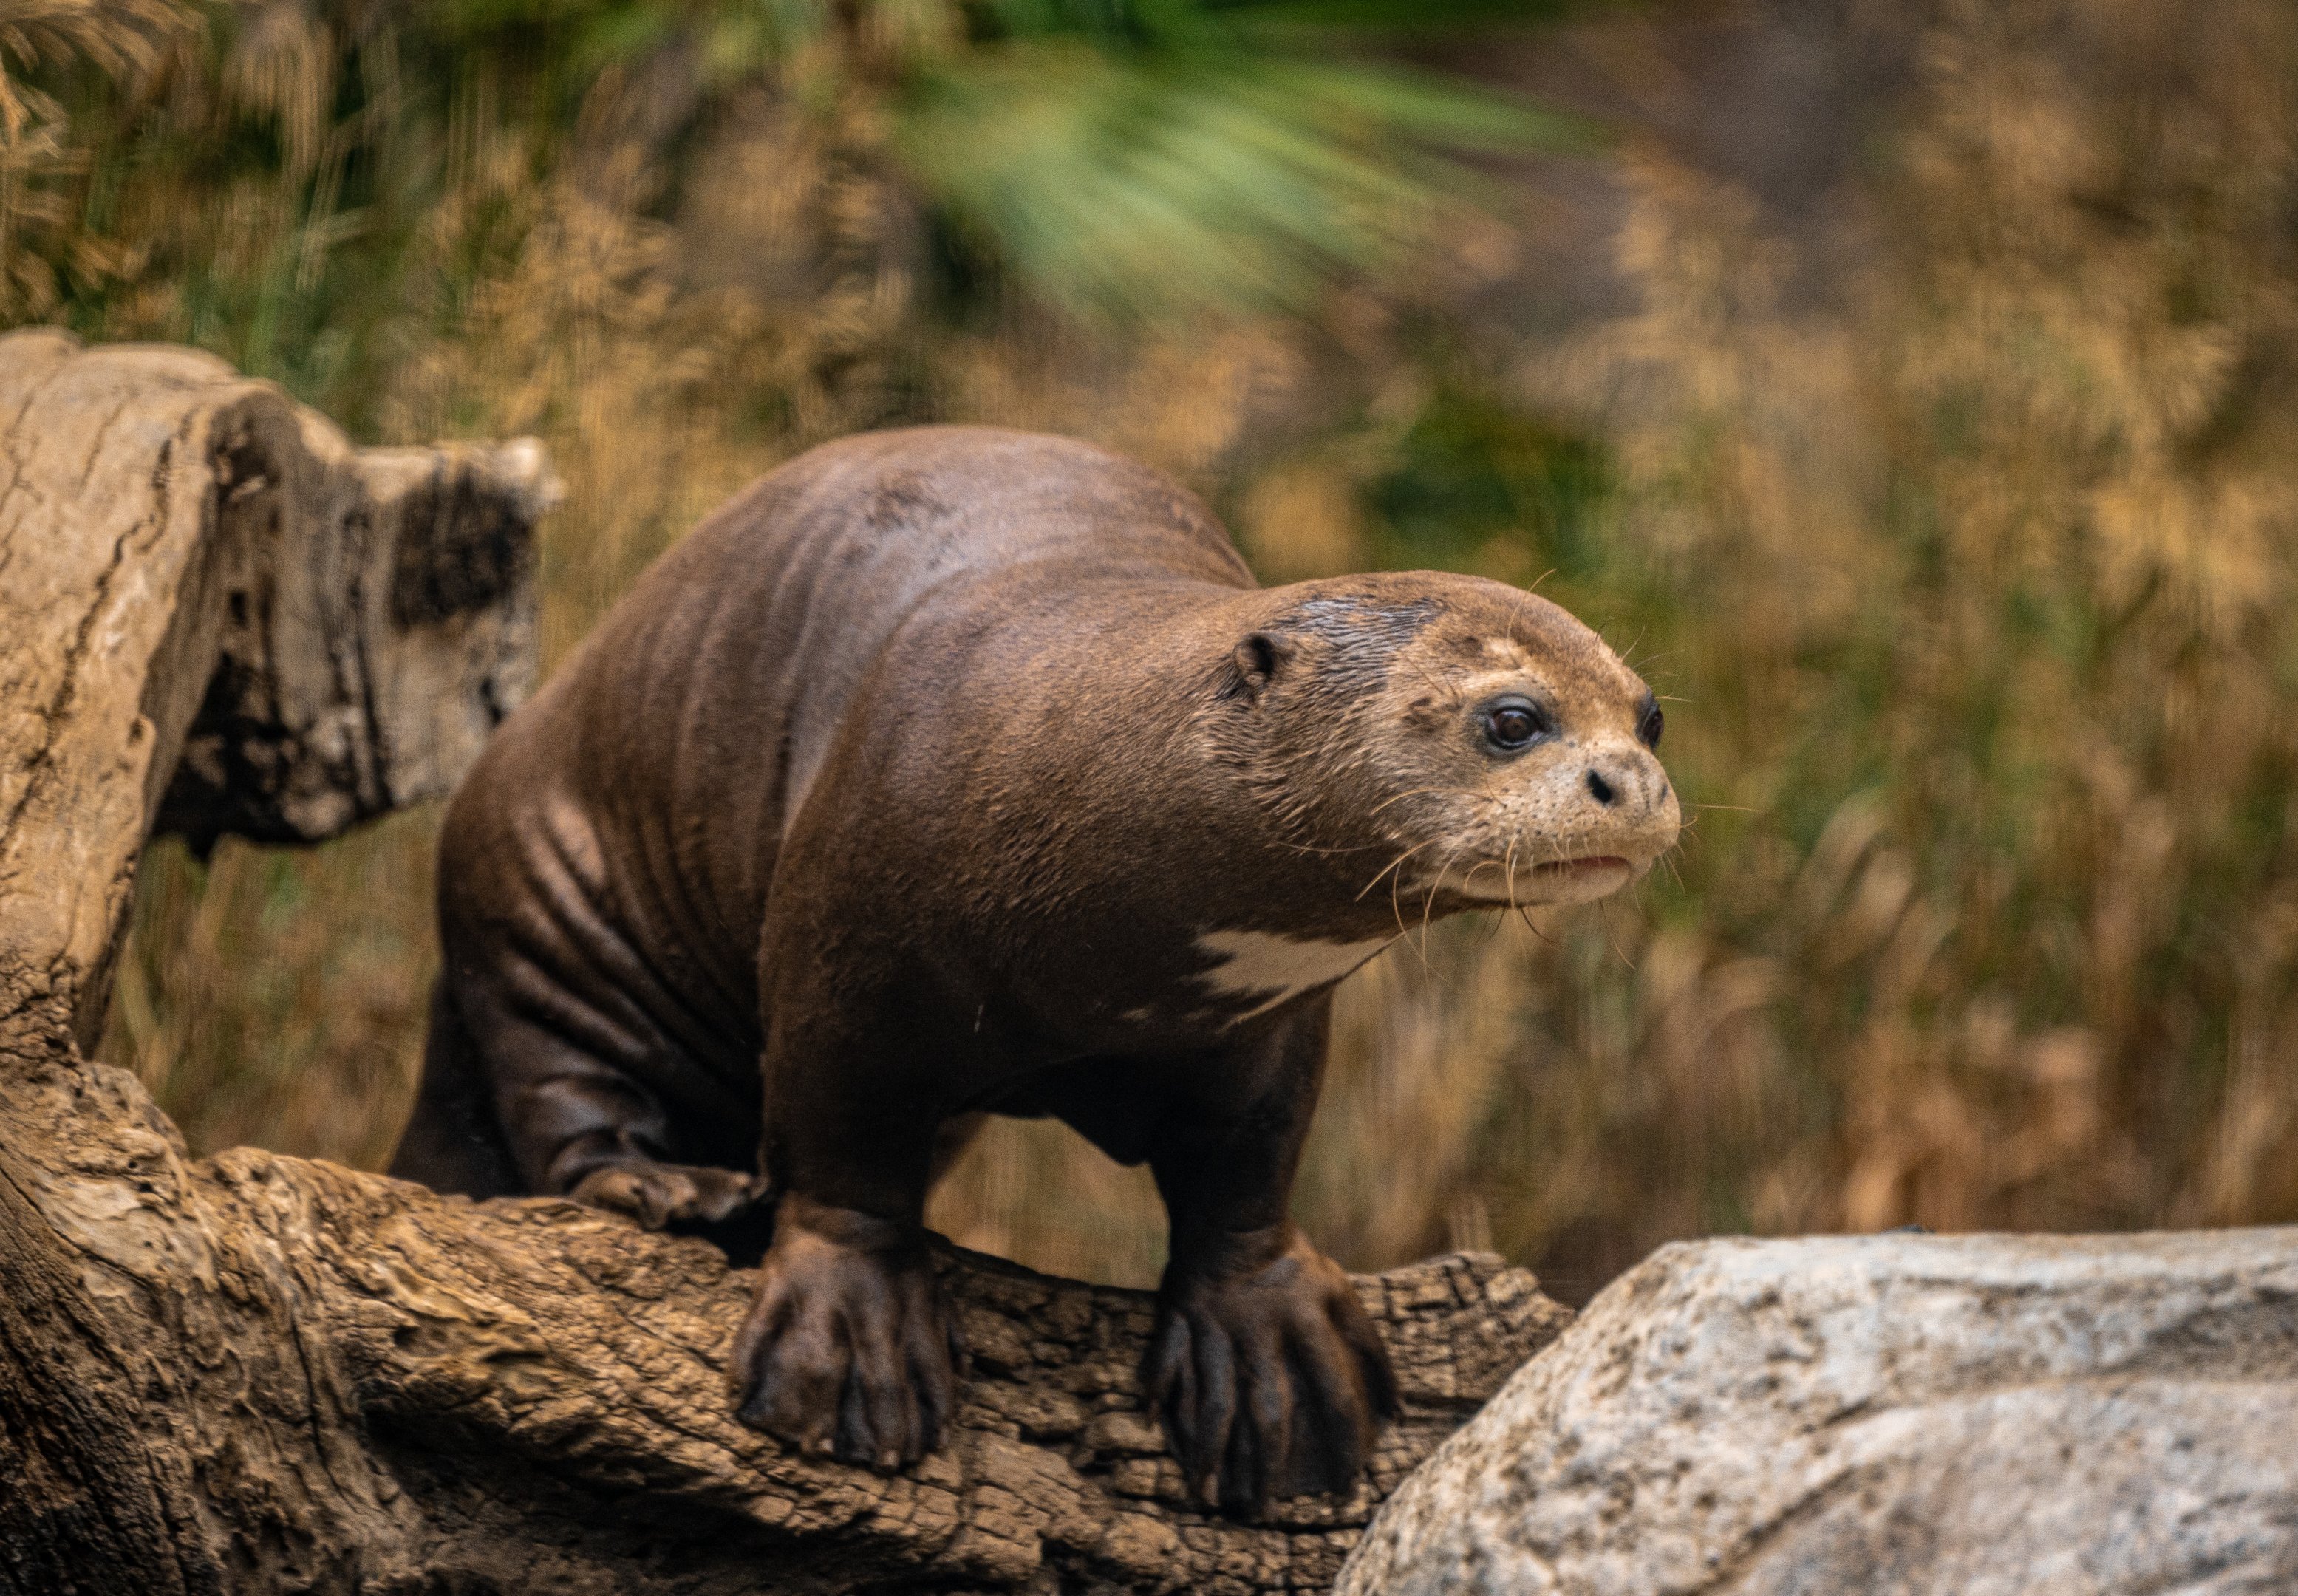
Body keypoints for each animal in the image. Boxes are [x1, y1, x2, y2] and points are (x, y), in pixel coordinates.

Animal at [390, 426, 1679, 1512]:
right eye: (1510, 719)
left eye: (1649, 713)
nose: (1629, 780)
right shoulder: (841, 954)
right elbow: (841, 1143)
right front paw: (852, 1341)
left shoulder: (1269, 1027)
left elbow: (1248, 1168)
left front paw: (1272, 1353)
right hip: (540, 895)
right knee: (557, 1097)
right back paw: (670, 1189)